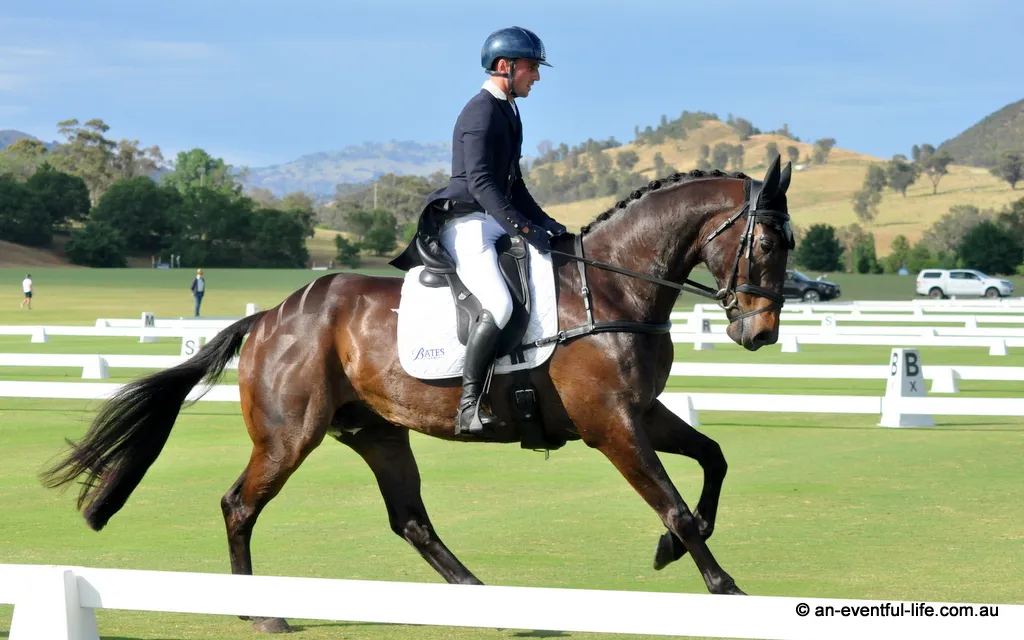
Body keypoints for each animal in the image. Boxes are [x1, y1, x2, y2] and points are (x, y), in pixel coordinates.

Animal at [42, 158, 794, 633]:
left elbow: (715, 458)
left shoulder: (639, 412)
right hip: (290, 435)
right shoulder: (610, 423)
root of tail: (271, 317)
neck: (611, 288)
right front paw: (725, 589)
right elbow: (678, 508)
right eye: (764, 243)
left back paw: (481, 599)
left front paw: (673, 554)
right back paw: (262, 611)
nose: (757, 333)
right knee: (239, 506)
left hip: (377, 431)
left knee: (410, 519)